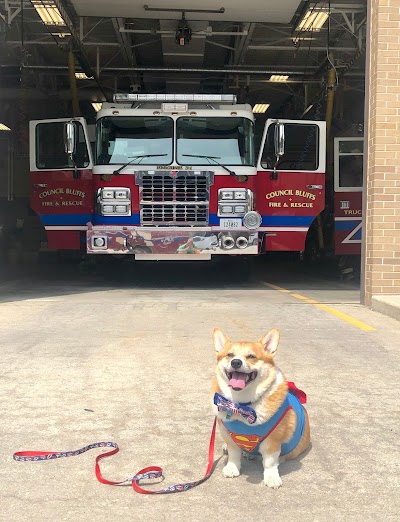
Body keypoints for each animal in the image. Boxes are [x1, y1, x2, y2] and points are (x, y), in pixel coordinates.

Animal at [211, 328, 310, 486]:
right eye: (230, 355)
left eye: (251, 356)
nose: (236, 362)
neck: (242, 405)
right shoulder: (227, 433)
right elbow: (233, 452)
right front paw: (232, 468)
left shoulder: (273, 441)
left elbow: (269, 461)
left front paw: (271, 477)